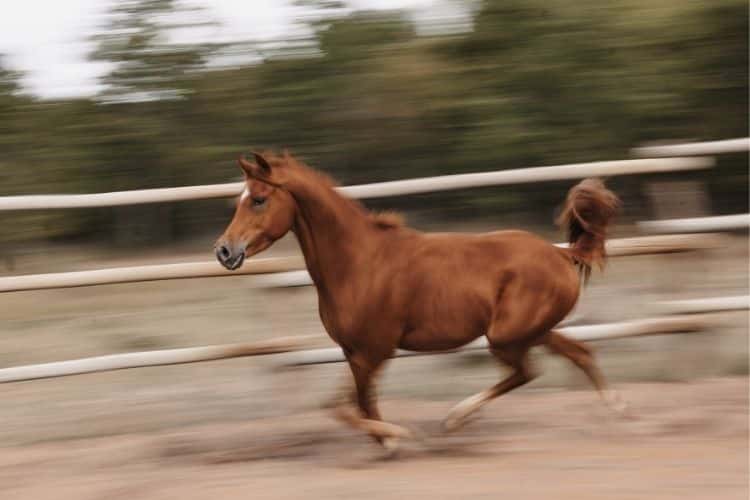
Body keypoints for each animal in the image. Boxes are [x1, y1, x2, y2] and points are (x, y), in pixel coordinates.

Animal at [215, 150, 622, 450]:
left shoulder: (374, 350)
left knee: (528, 371)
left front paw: (398, 437)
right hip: (531, 330)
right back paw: (617, 409)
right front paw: (387, 439)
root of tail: (560, 252)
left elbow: (348, 407)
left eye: (258, 200)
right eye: (239, 200)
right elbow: (348, 405)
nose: (224, 251)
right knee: (579, 353)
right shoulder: (355, 351)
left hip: (506, 336)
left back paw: (455, 418)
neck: (359, 262)